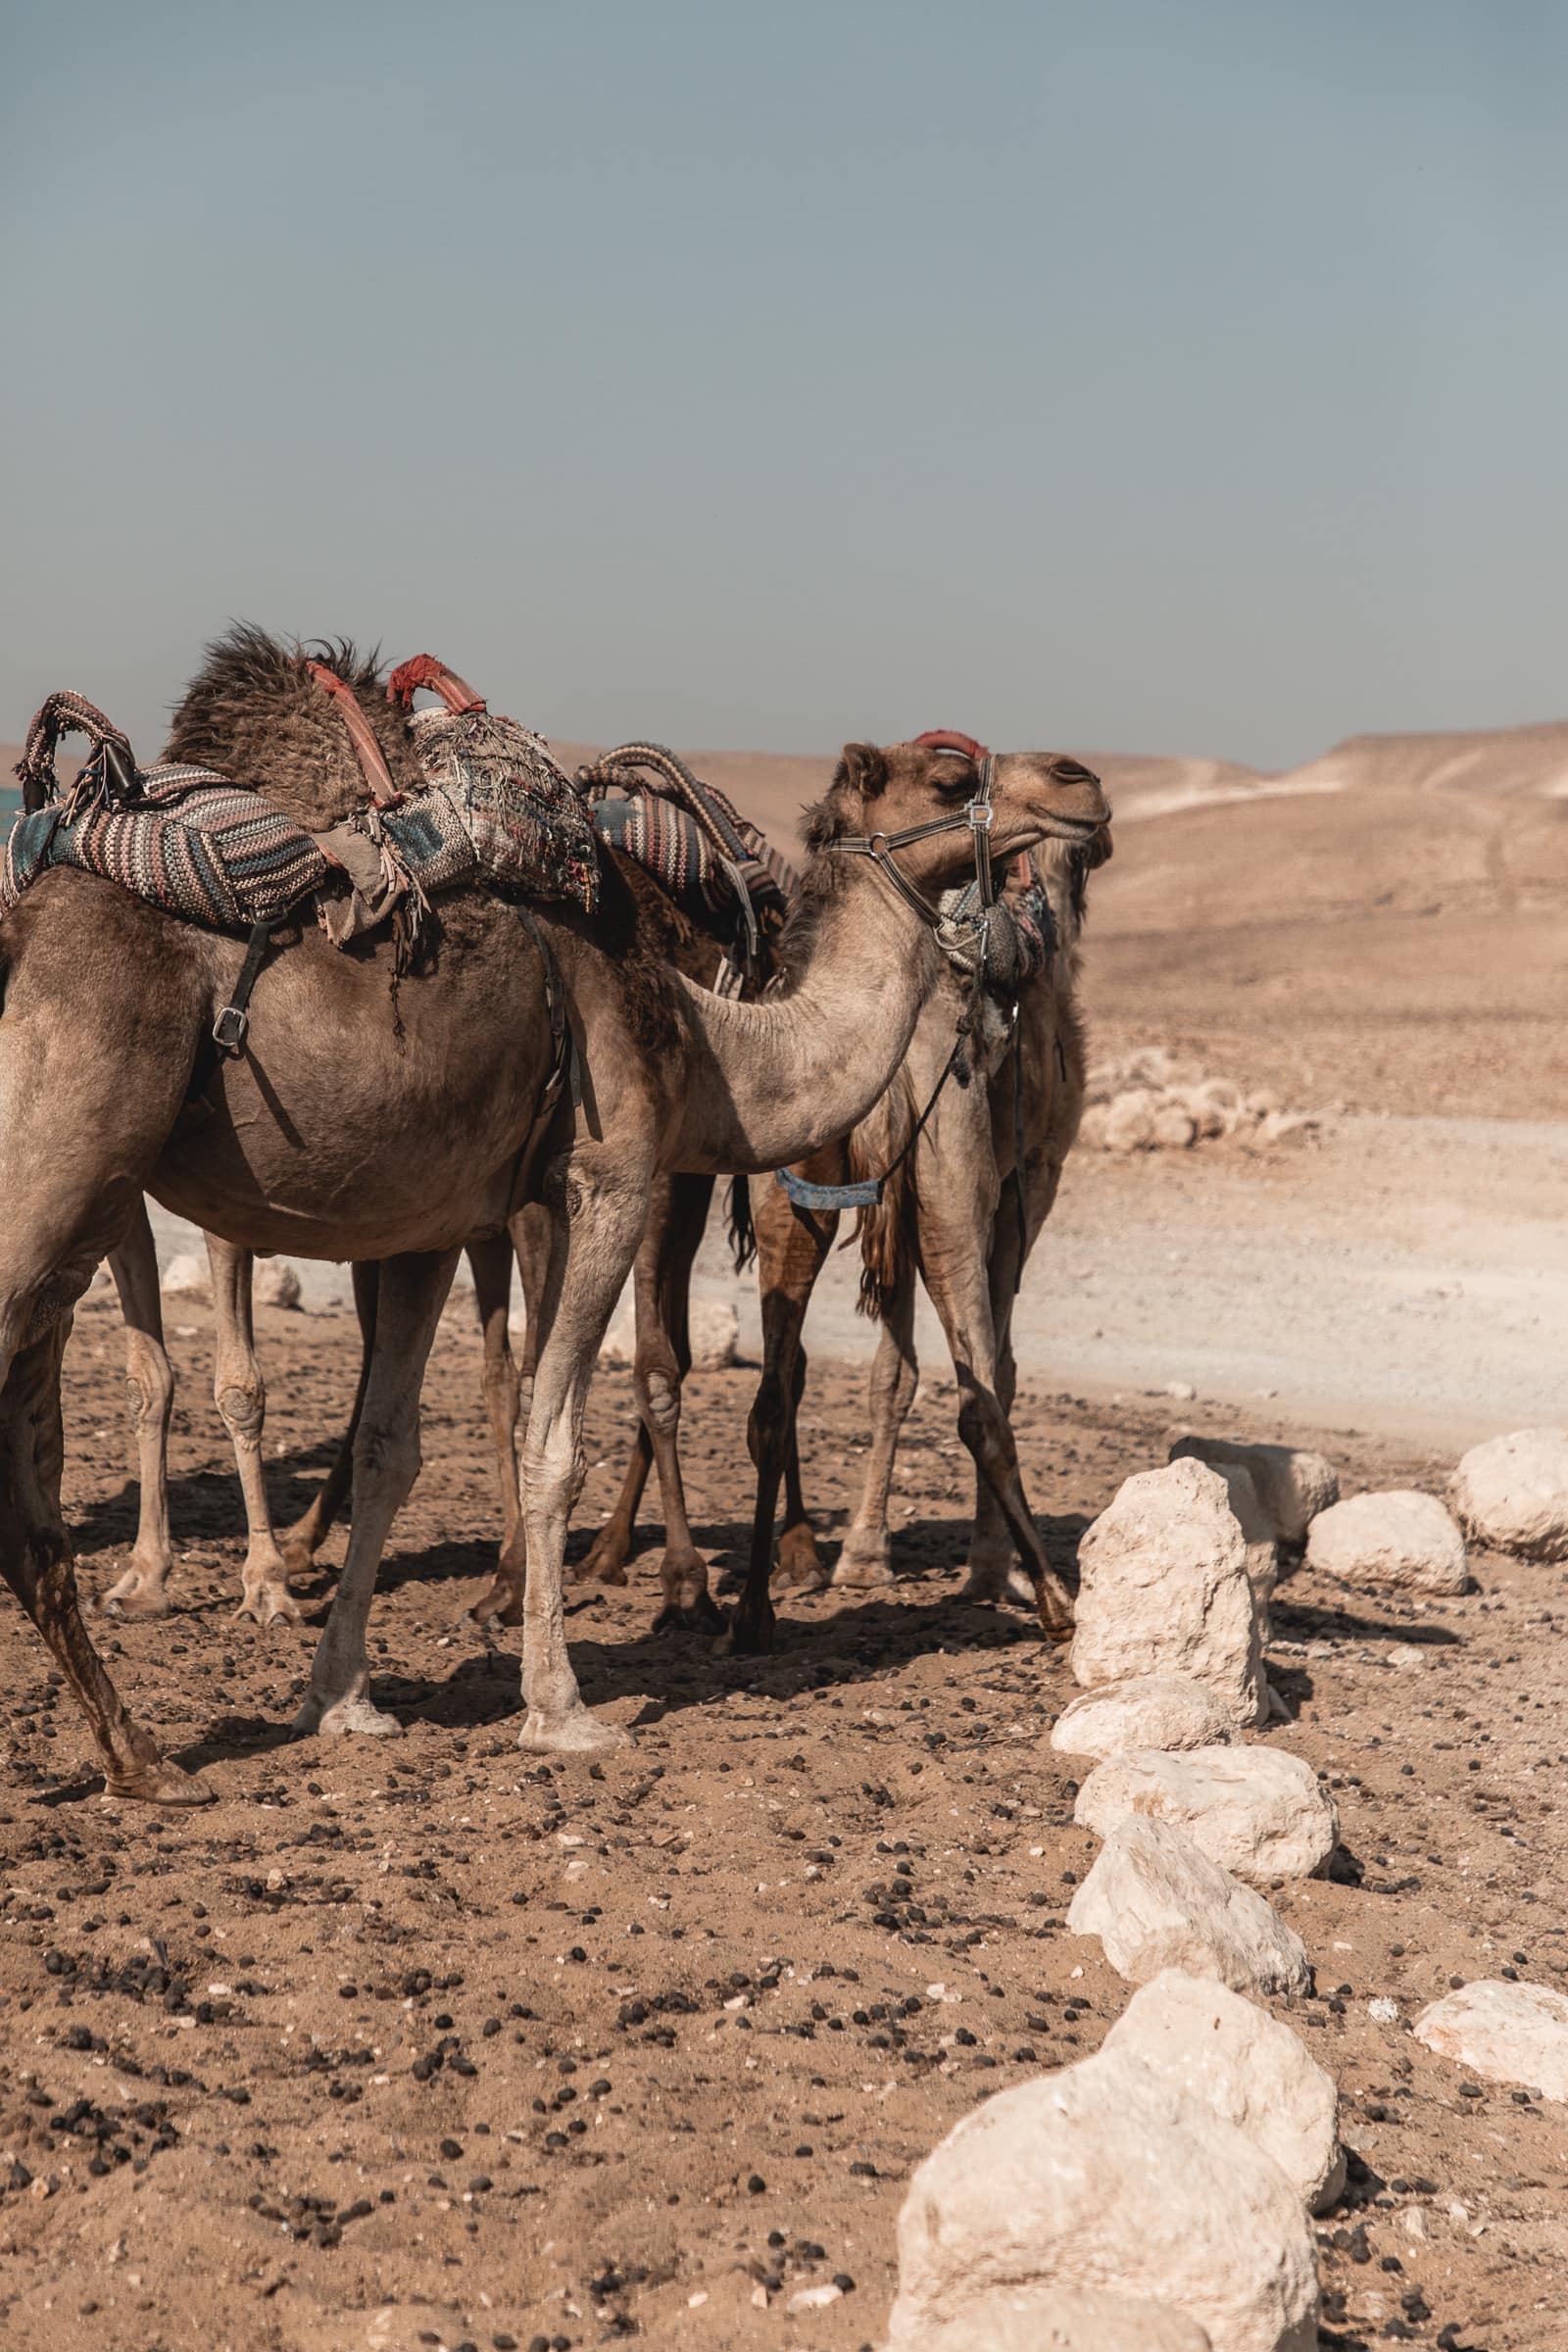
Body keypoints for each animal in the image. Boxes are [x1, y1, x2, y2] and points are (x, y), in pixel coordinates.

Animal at [726, 816, 1110, 1655]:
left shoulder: (891, 1205)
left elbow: (890, 1373)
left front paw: (865, 1555)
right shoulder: (1030, 1178)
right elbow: (1000, 1367)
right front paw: (987, 1567)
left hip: (809, 1188)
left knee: (779, 1386)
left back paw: (765, 1601)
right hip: (957, 1188)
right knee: (980, 1394)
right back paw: (1045, 1598)